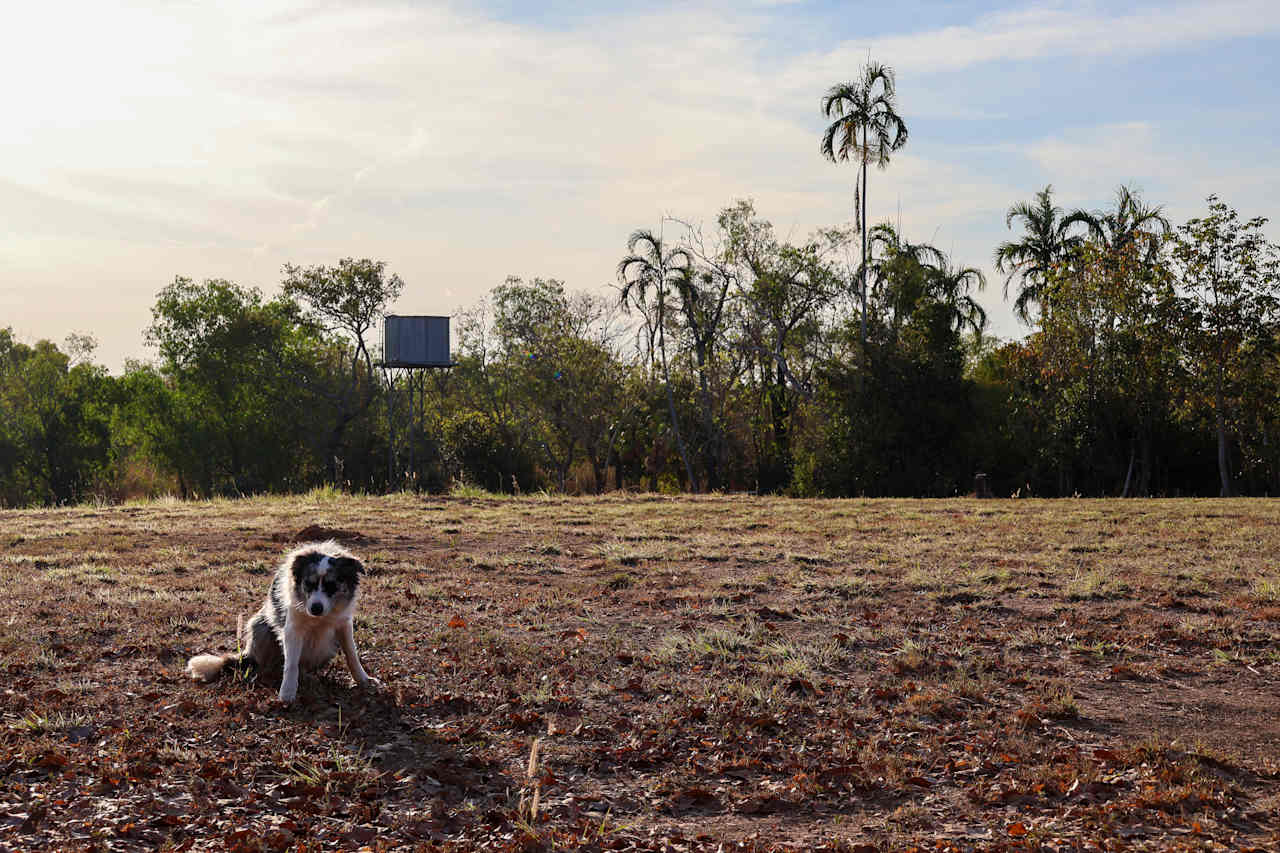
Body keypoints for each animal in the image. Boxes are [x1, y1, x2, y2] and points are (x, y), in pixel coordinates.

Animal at [186, 540, 373, 701]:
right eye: (308, 584)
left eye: (331, 586)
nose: (315, 608)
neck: (320, 618)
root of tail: (248, 653)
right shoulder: (292, 628)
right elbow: (291, 664)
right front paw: (288, 691)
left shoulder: (343, 624)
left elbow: (352, 654)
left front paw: (363, 679)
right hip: (259, 626)